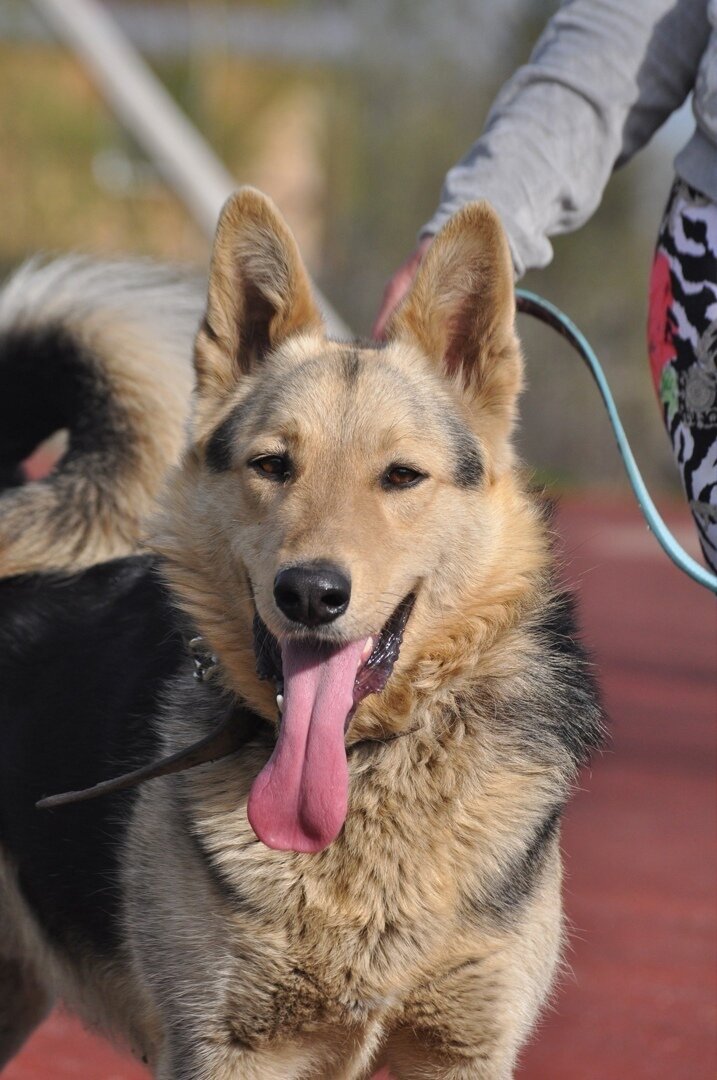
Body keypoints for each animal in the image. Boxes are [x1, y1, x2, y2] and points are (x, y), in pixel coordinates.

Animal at [0, 190, 600, 1075]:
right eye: (272, 465)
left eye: (401, 476)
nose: (310, 593)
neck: (363, 768)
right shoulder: (229, 1048)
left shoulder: (459, 1050)